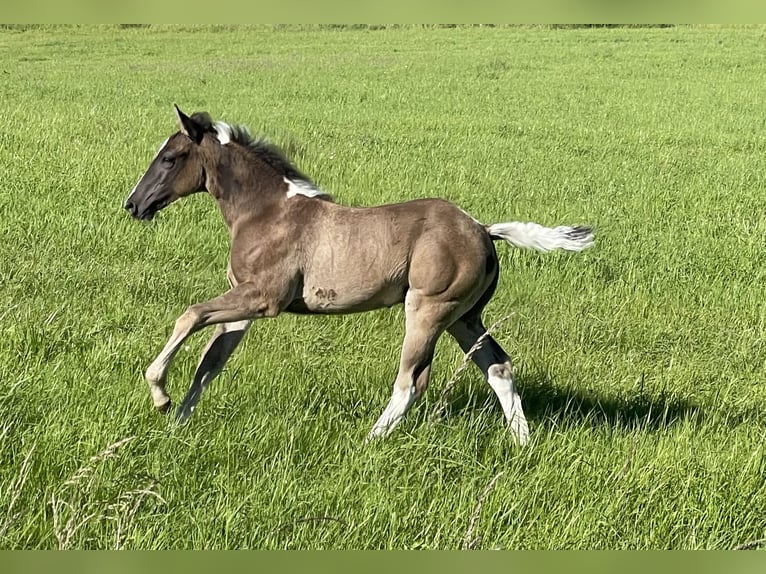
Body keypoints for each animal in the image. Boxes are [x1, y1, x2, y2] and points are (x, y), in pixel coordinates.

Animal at [124, 106, 592, 446]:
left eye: (169, 158)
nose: (134, 204)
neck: (266, 212)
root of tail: (483, 228)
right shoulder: (245, 302)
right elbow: (210, 362)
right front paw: (177, 423)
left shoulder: (264, 298)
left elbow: (191, 315)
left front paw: (160, 396)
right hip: (464, 317)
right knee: (499, 367)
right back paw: (523, 443)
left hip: (428, 309)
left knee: (411, 381)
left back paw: (370, 440)